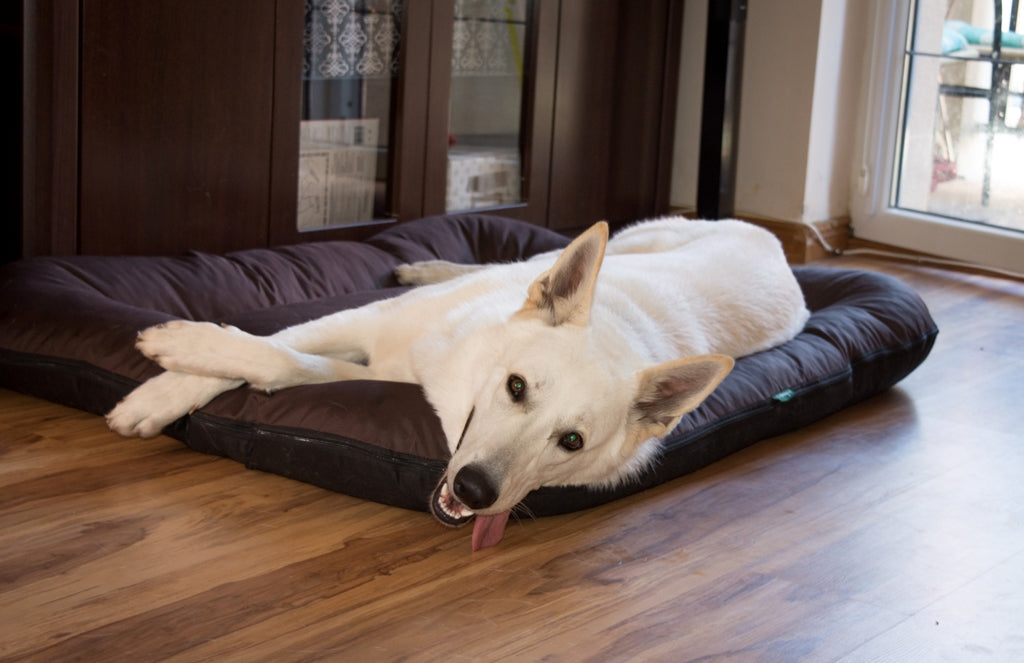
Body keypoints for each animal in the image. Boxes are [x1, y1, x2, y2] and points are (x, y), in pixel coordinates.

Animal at [103, 218, 806, 549]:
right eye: (516, 387)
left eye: (571, 442)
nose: (475, 491)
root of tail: (775, 244)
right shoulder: (368, 323)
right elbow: (270, 346)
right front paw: (166, 375)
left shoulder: (375, 365)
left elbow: (284, 364)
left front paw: (165, 383)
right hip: (618, 244)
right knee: (523, 258)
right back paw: (427, 266)